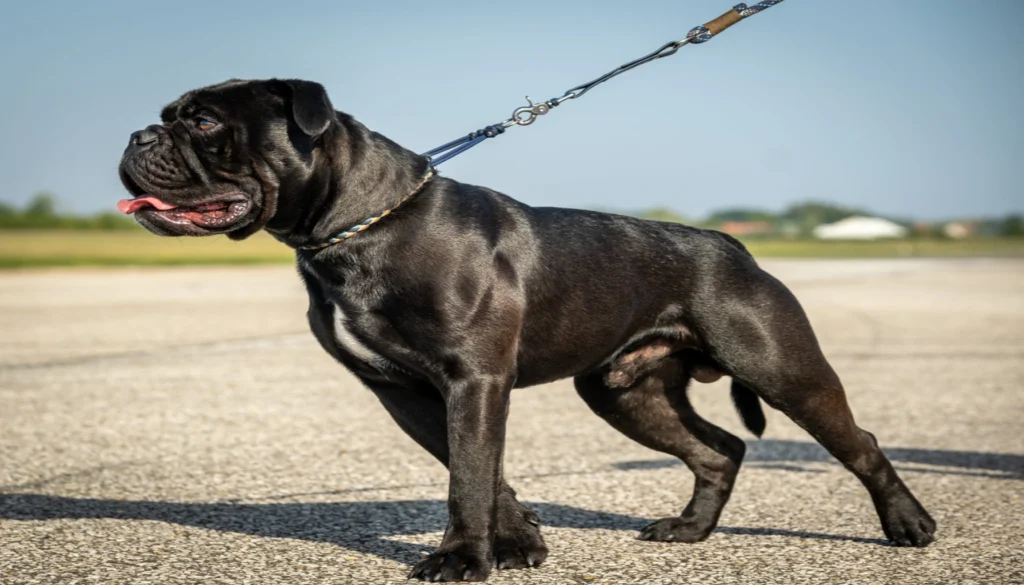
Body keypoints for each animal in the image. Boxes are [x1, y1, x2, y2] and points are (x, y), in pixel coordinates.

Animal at [119, 79, 937, 581]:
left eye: (203, 122)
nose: (135, 135)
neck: (356, 225)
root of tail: (733, 245)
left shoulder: (474, 378)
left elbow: (469, 476)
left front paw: (461, 560)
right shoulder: (407, 391)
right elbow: (482, 472)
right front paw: (519, 544)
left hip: (781, 368)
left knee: (859, 444)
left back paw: (909, 524)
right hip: (624, 392)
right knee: (720, 448)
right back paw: (688, 531)